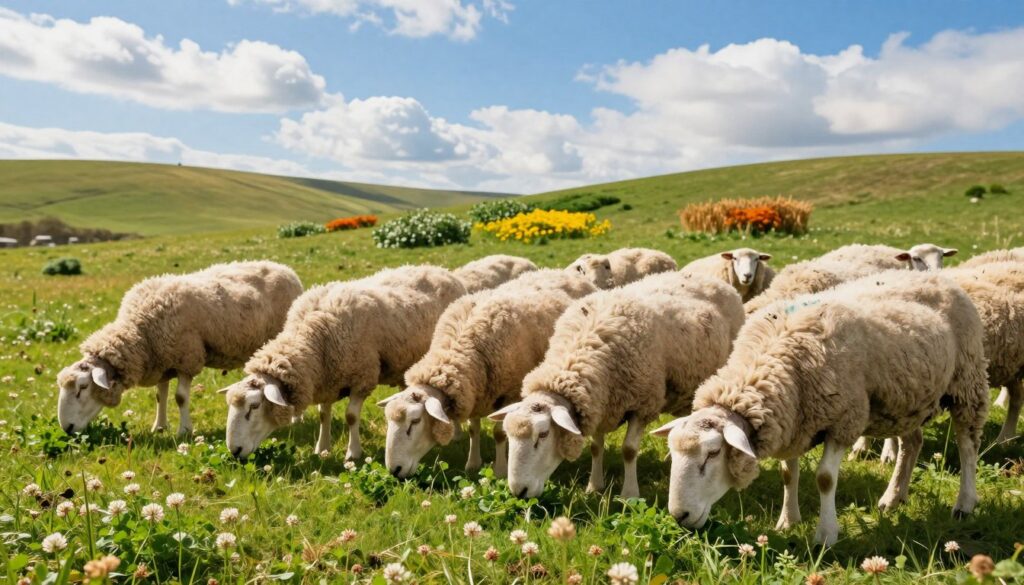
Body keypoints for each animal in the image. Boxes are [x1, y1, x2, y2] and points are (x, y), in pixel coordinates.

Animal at [56, 261, 303, 436]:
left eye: (82, 387)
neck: (141, 332)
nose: (67, 428)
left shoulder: (187, 357)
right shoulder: (162, 360)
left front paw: (184, 430)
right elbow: (160, 395)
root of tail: (287, 270)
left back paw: (296, 420)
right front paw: (159, 426)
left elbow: (181, 398)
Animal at [221, 265, 466, 460]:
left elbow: (351, 417)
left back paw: (457, 434)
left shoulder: (362, 378)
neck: (315, 337)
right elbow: (323, 415)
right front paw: (322, 448)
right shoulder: (328, 378)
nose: (234, 451)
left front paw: (353, 452)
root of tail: (442, 270)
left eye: (254, 406)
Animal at [377, 269, 597, 479]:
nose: (394, 470)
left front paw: (500, 469)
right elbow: (473, 429)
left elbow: (499, 433)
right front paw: (473, 464)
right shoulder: (475, 389)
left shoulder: (510, 393)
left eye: (414, 421)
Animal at [491, 272, 745, 499]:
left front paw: (629, 495)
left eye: (542, 434)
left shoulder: (642, 404)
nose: (519, 492)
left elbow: (629, 451)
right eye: (509, 435)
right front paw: (595, 486)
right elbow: (596, 447)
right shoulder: (600, 401)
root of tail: (712, 279)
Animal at [651, 270, 988, 545]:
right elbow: (788, 474)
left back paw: (965, 504)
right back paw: (893, 497)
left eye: (713, 453)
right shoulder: (794, 421)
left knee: (967, 443)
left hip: (967, 381)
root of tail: (935, 276)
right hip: (907, 398)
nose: (679, 516)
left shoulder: (843, 421)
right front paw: (788, 521)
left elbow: (825, 479)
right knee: (912, 443)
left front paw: (826, 535)